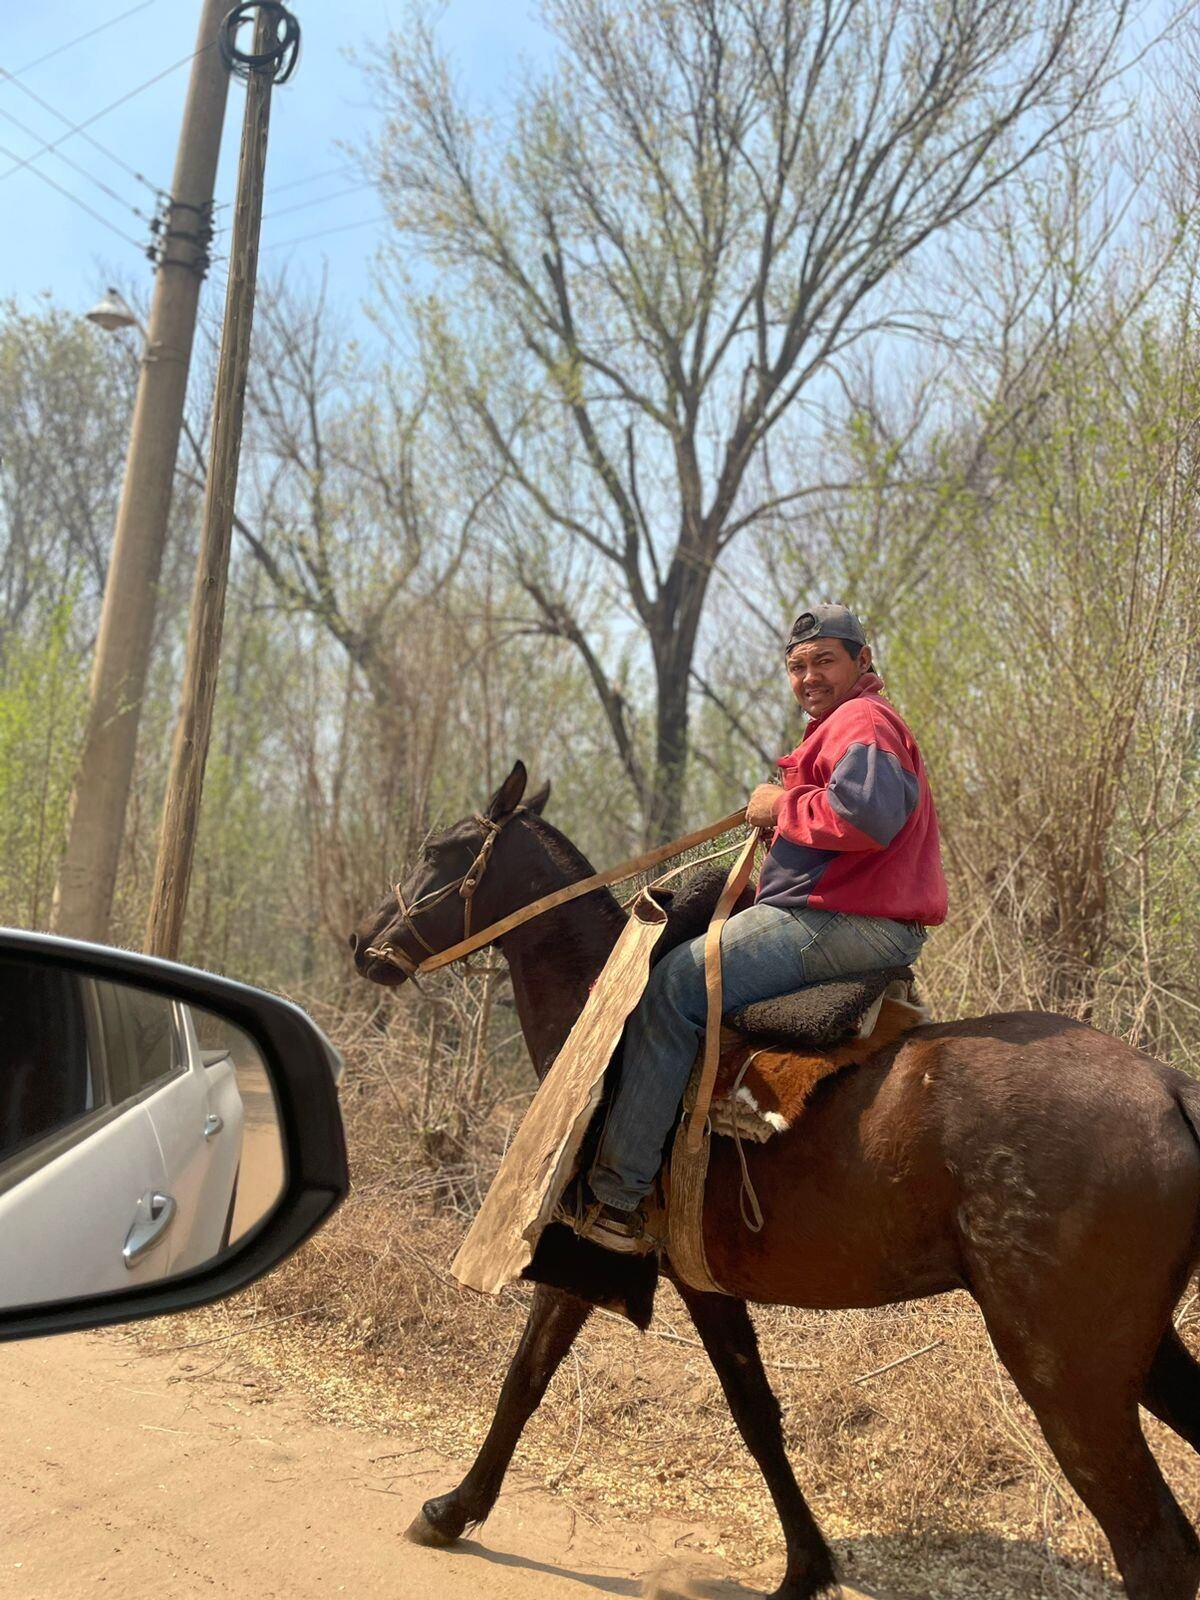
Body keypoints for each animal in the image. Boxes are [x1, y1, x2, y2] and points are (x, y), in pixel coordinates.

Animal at [350, 764, 1200, 1600]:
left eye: (440, 849)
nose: (363, 942)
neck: (609, 1022)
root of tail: (1168, 1089)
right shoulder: (704, 1283)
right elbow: (756, 1413)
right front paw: (806, 1567)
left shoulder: (582, 1250)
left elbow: (526, 1377)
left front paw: (452, 1509)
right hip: (1136, 1352)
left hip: (1066, 1372)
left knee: (1153, 1547)